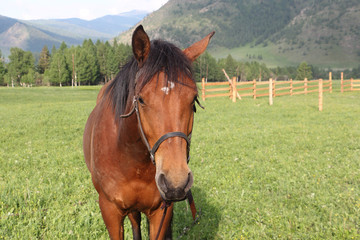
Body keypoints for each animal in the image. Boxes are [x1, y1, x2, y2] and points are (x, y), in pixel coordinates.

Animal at [83, 25, 214, 239]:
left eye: (193, 99)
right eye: (141, 99)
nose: (175, 182)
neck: (133, 159)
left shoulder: (161, 210)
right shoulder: (110, 211)